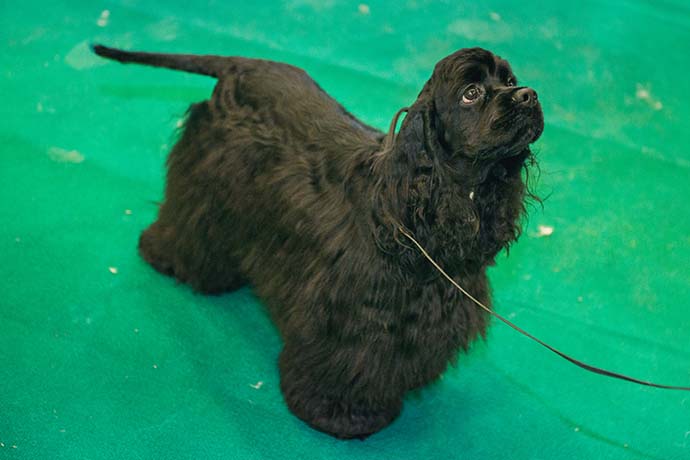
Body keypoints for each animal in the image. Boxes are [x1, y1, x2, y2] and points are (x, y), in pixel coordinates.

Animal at [92, 45, 544, 438]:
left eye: (509, 80)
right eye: (471, 94)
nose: (529, 94)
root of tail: (242, 64)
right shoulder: (356, 314)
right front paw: (339, 414)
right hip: (209, 180)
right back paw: (165, 256)